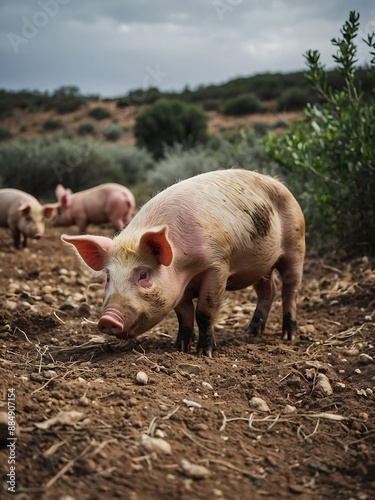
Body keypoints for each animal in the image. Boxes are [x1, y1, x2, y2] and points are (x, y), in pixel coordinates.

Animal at [61, 170, 306, 358]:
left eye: (143, 275)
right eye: (108, 277)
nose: (107, 319)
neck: (184, 268)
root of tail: (279, 183)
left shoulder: (218, 265)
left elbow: (204, 312)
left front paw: (204, 353)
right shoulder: (179, 287)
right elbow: (184, 315)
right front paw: (179, 347)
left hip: (296, 246)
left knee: (290, 290)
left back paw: (288, 335)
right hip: (260, 265)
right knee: (268, 290)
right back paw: (251, 332)